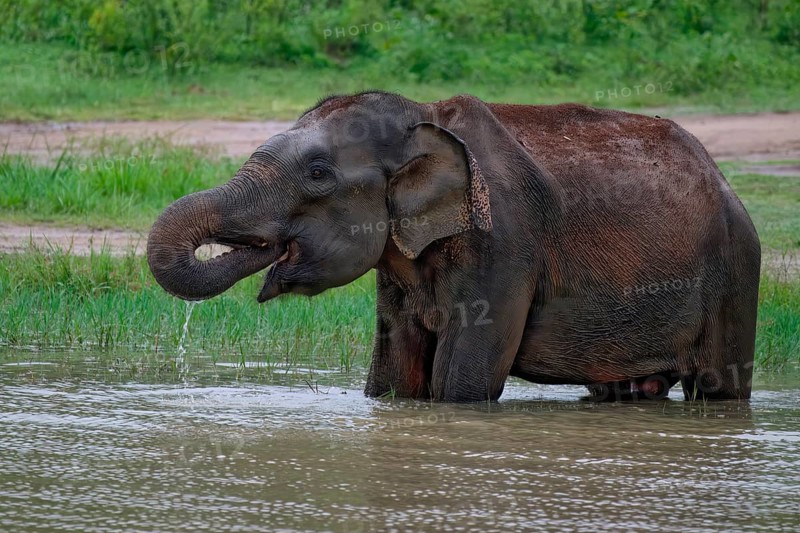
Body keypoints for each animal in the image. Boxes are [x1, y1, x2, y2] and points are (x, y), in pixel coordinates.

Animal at [147, 91, 761, 403]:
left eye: (318, 174)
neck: (424, 119)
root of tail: (721, 175)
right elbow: (394, 378)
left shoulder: (504, 243)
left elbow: (459, 385)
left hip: (735, 268)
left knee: (719, 386)